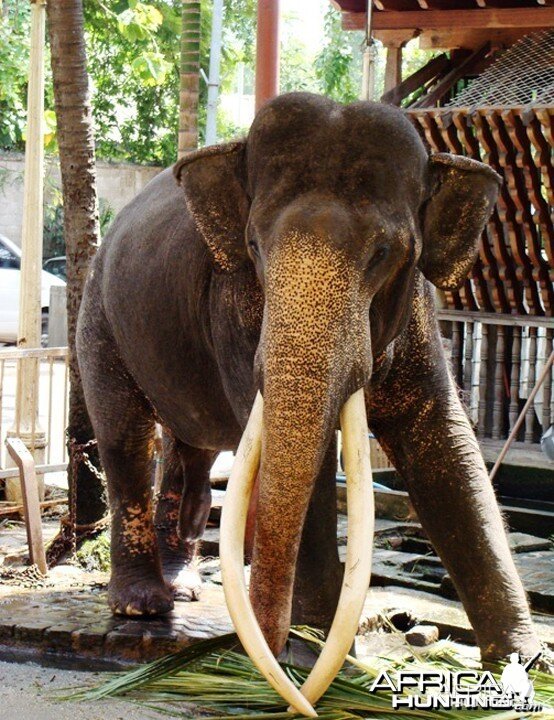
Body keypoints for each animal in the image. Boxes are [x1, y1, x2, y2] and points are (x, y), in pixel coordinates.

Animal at [75, 93, 536, 676]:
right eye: (253, 245)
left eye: (384, 253)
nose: (270, 649)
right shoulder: (235, 309)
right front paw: (312, 644)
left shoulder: (418, 313)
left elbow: (446, 446)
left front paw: (524, 664)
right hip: (98, 321)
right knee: (127, 439)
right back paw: (143, 606)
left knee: (191, 455)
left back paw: (184, 588)